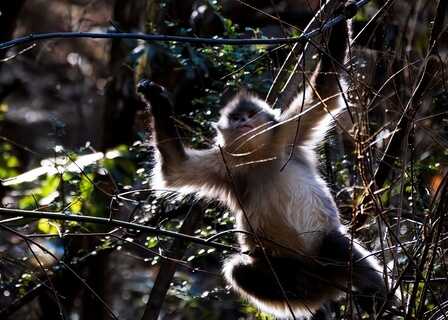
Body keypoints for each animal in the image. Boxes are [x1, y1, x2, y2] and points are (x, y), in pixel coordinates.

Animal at [136, 3, 392, 320]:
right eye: (236, 117)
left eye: (249, 115)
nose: (242, 122)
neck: (257, 154)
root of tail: (324, 287)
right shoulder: (225, 165)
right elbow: (175, 169)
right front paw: (157, 101)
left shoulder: (286, 135)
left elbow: (327, 89)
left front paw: (341, 14)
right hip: (294, 277)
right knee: (241, 270)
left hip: (325, 257)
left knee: (335, 246)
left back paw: (377, 298)